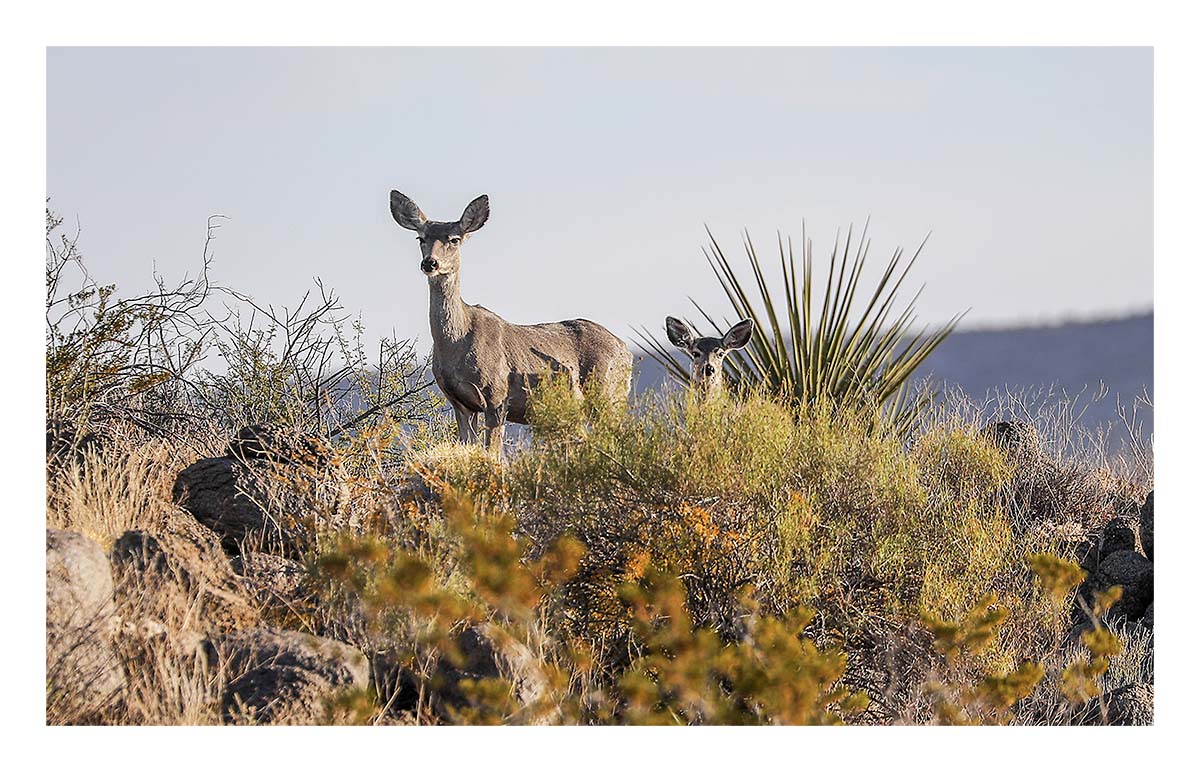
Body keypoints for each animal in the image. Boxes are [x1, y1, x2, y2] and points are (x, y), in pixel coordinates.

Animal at [393, 189, 638, 453]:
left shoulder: (497, 395)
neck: (456, 341)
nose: (430, 263)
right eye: (421, 238)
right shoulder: (459, 402)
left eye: (454, 239)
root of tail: (626, 350)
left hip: (608, 392)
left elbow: (493, 453)